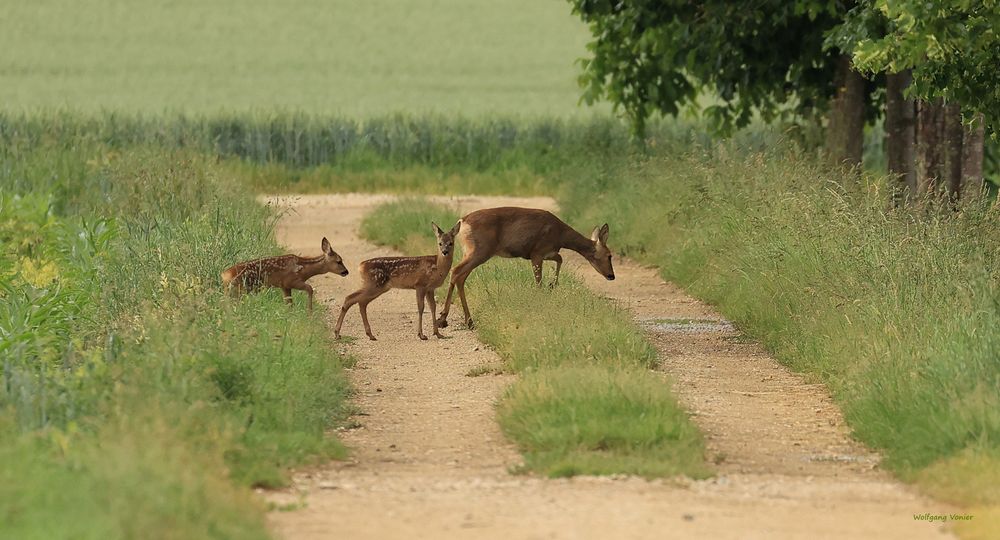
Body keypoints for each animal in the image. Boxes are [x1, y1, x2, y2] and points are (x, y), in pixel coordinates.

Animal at [220, 237, 348, 312]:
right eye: (339, 261)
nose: (346, 272)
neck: (304, 269)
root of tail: (224, 275)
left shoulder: (285, 286)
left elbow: (289, 303)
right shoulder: (292, 281)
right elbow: (310, 288)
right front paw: (309, 311)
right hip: (240, 289)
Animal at [334, 220, 462, 340]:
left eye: (451, 243)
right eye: (440, 243)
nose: (444, 252)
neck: (437, 267)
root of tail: (361, 266)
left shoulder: (430, 288)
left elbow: (433, 307)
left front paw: (438, 334)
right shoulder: (420, 285)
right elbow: (421, 308)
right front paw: (421, 335)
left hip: (377, 286)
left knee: (360, 302)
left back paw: (369, 335)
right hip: (374, 284)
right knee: (351, 299)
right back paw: (338, 333)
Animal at [440, 208, 616, 330]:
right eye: (609, 255)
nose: (611, 276)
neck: (560, 234)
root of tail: (462, 222)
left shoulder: (547, 252)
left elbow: (560, 259)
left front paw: (552, 285)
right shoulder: (537, 253)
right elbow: (539, 281)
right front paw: (544, 297)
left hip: (472, 252)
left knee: (460, 276)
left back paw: (467, 321)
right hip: (480, 251)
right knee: (456, 271)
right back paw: (443, 319)